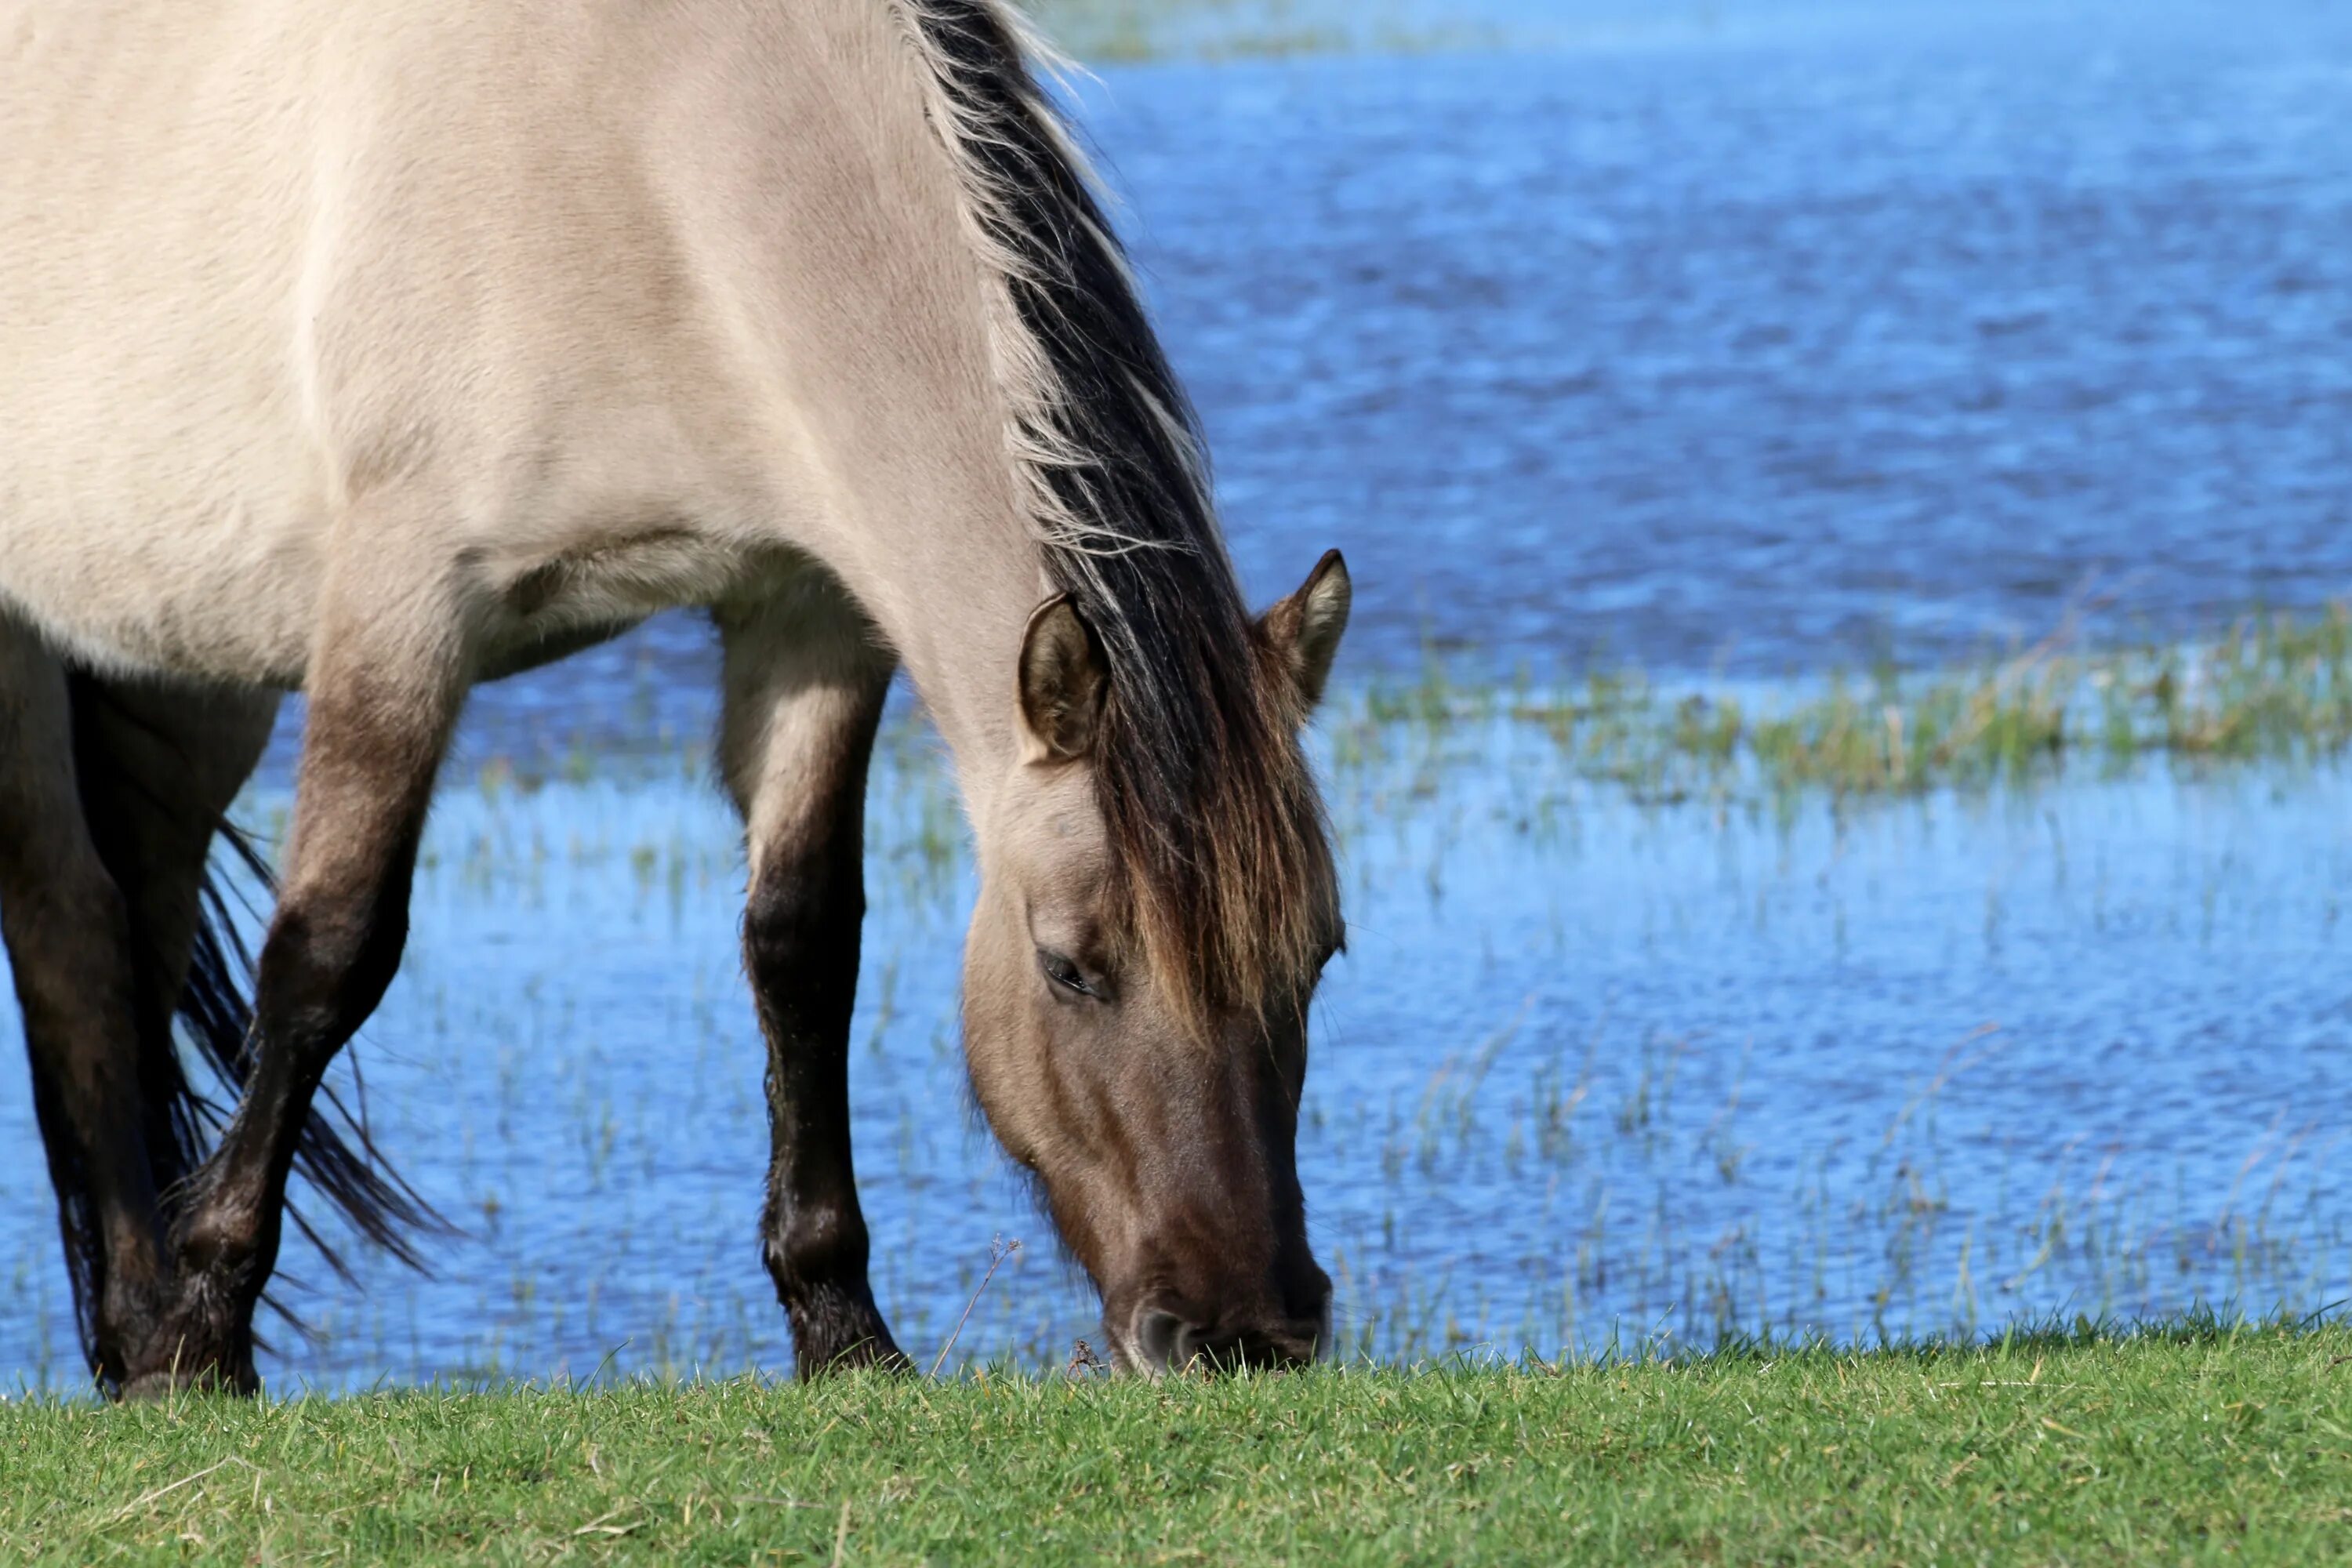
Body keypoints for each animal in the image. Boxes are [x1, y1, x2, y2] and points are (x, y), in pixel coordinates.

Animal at [0, 0, 1355, 1401]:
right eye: (1071, 968)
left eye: (1317, 956)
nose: (1246, 1332)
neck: (659, 137)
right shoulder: (401, 600)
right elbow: (329, 953)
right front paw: (203, 1331)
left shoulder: (808, 612)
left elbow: (803, 943)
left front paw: (844, 1330)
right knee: (68, 939)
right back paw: (148, 1321)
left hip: (179, 677)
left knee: (140, 935)